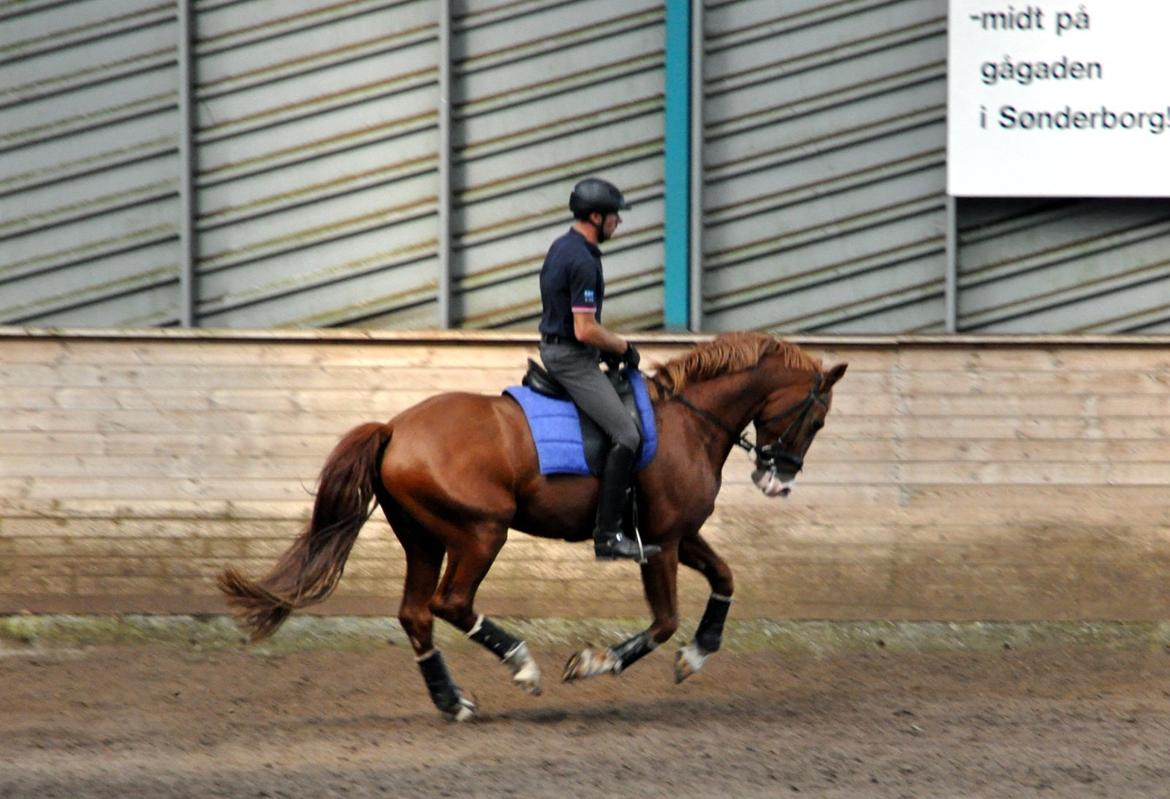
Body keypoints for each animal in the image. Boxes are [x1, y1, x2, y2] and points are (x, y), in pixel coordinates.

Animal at [219, 332, 842, 720]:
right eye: (816, 418)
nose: (778, 482)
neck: (689, 421)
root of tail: (395, 428)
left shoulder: (683, 535)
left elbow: (726, 579)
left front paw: (698, 653)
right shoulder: (661, 541)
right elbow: (664, 620)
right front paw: (596, 663)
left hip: (422, 539)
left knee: (416, 614)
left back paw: (453, 702)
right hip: (479, 533)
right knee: (451, 604)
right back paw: (521, 665)